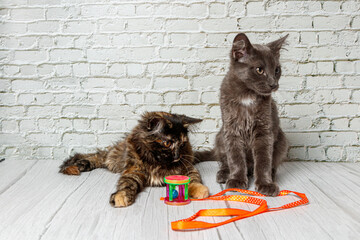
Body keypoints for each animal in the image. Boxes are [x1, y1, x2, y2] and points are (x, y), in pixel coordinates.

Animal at [60, 111, 210, 207]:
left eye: (183, 144)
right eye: (167, 143)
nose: (177, 156)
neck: (158, 163)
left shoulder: (188, 167)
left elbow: (194, 179)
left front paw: (200, 190)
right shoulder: (134, 170)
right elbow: (127, 184)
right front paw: (121, 196)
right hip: (113, 160)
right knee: (97, 157)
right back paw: (75, 166)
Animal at [195, 32, 288, 196]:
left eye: (277, 70)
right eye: (259, 70)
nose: (273, 84)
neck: (247, 95)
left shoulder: (264, 131)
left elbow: (264, 160)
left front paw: (265, 184)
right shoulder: (231, 129)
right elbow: (235, 158)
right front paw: (236, 180)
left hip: (282, 141)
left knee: (272, 164)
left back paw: (271, 175)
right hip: (220, 136)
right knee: (224, 160)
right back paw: (224, 174)